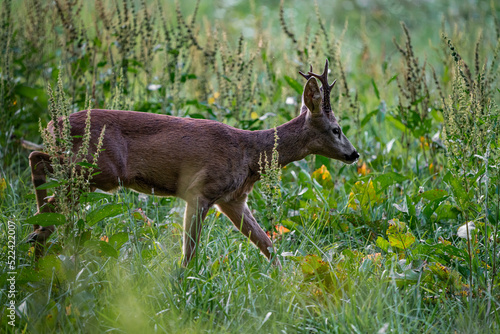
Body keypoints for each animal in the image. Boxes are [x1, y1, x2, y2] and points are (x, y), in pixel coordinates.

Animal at [29, 60, 360, 268]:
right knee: (42, 166)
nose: (354, 154)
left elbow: (268, 245)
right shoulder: (201, 190)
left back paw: (38, 238)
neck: (250, 153)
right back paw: (38, 232)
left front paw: (287, 283)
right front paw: (182, 284)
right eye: (336, 129)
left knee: (41, 168)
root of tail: (53, 124)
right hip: (98, 169)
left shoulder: (232, 200)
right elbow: (189, 251)